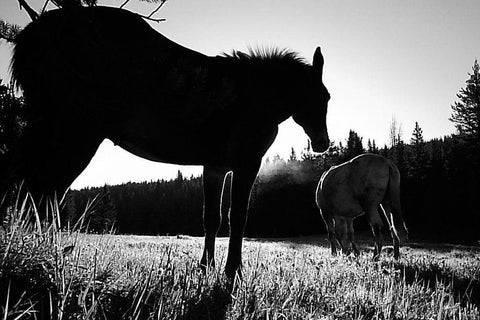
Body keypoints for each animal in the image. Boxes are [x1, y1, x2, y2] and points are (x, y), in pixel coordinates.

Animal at [3, 6, 332, 278]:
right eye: (322, 97)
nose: (322, 143)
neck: (259, 97)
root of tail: (29, 36)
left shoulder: (216, 166)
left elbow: (211, 218)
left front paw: (206, 266)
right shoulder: (247, 161)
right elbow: (237, 216)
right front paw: (232, 271)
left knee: (28, 189)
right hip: (75, 132)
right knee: (42, 191)